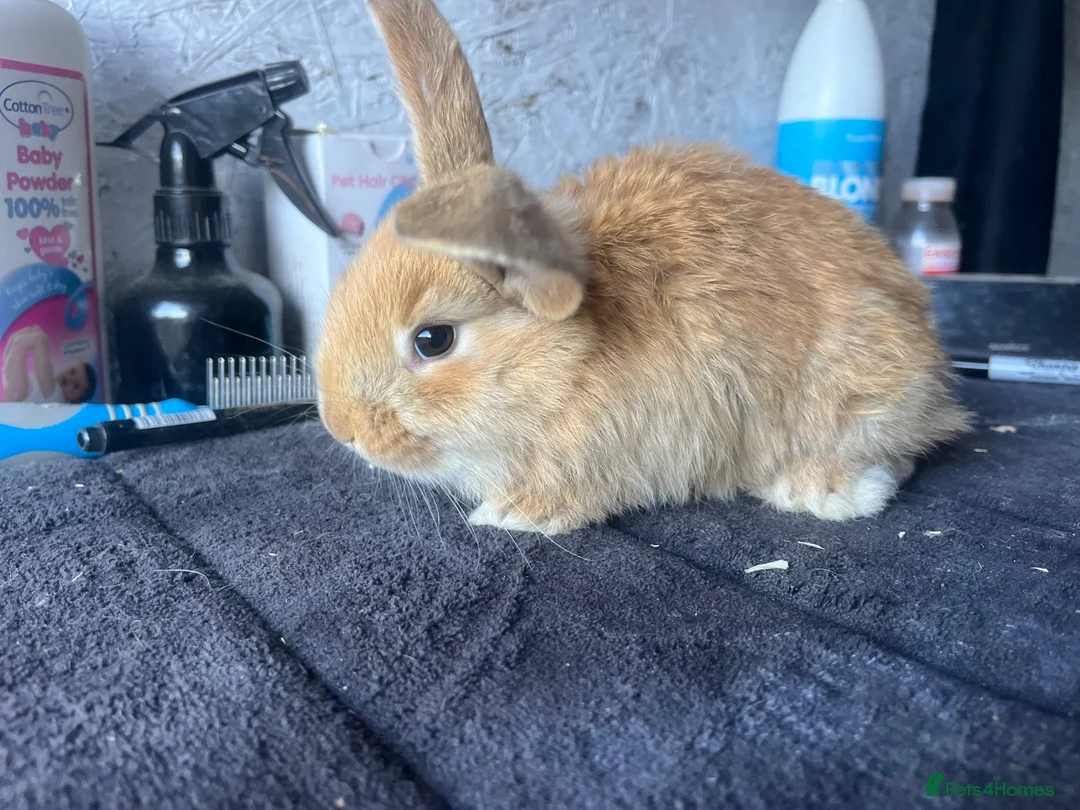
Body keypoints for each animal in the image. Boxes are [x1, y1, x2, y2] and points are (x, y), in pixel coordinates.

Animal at [316, 0, 970, 535]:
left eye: (433, 340)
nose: (341, 428)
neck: (566, 366)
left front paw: (517, 513)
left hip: (859, 387)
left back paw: (820, 489)